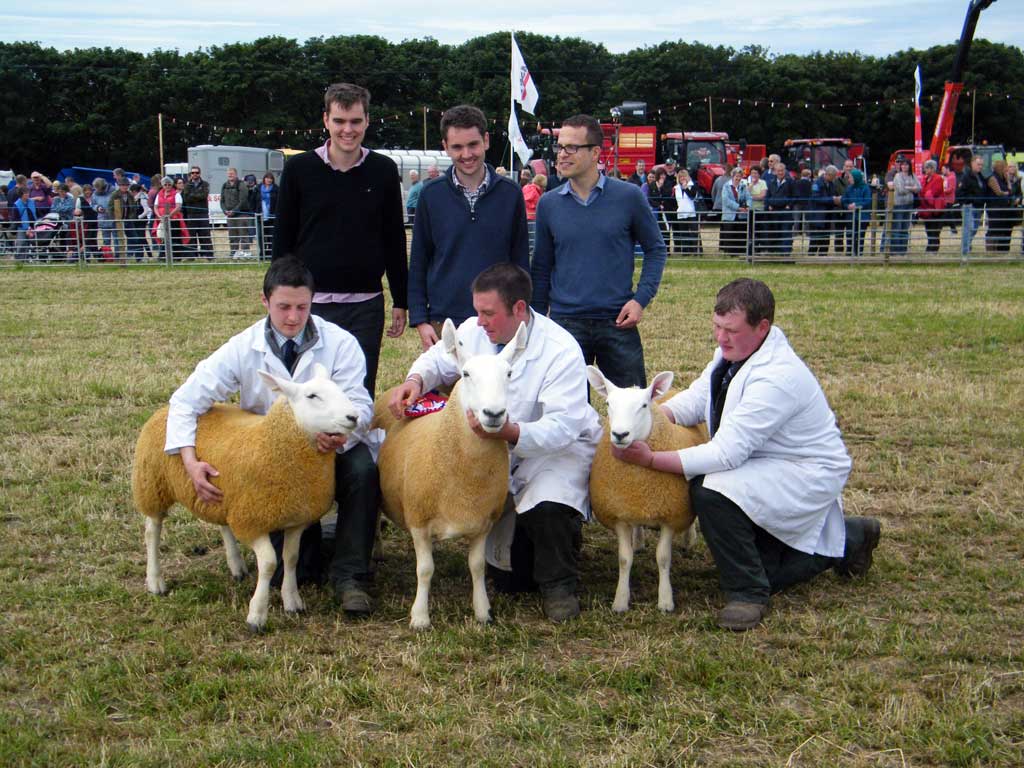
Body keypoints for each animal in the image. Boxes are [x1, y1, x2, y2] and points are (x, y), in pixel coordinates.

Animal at [133, 364, 360, 630]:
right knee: (152, 530)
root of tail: (166, 407)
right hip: (152, 484)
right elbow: (270, 563)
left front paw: (292, 600)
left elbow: (291, 558)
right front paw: (257, 614)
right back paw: (155, 580)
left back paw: (236, 566)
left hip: (222, 494)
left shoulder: (296, 520)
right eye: (312, 396)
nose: (354, 417)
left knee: (222, 524)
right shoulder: (251, 521)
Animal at [370, 319, 528, 630]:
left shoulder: (482, 522)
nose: (494, 414)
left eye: (509, 373)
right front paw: (420, 617)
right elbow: (425, 569)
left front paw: (483, 611)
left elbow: (477, 567)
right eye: (465, 374)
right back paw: (376, 550)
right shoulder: (418, 519)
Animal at [589, 370, 708, 618]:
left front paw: (665, 601)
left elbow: (663, 558)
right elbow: (624, 559)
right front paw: (620, 601)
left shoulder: (670, 516)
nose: (620, 434)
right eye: (608, 404)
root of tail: (672, 391)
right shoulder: (620, 515)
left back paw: (688, 540)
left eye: (643, 405)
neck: (638, 482)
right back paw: (639, 540)